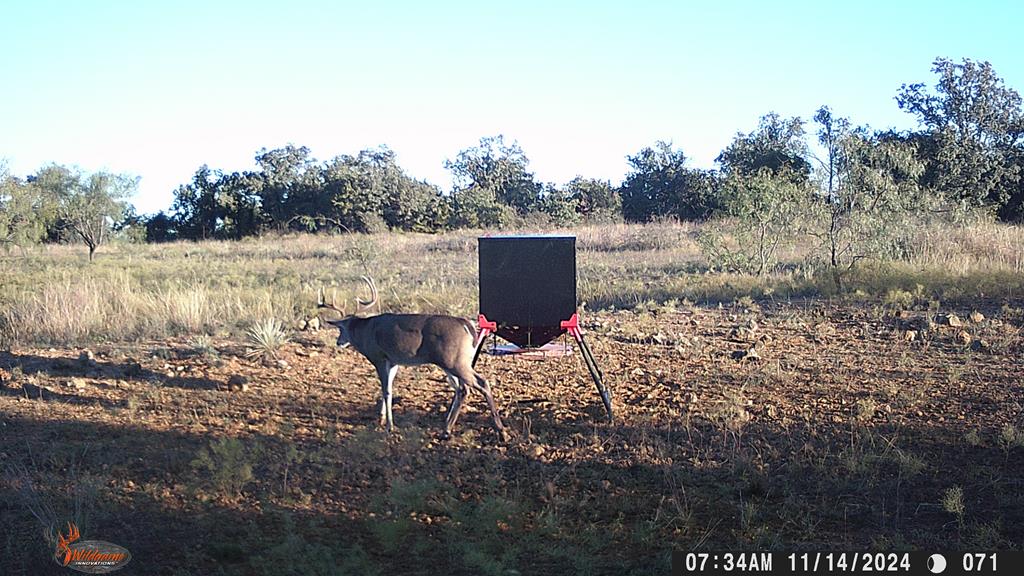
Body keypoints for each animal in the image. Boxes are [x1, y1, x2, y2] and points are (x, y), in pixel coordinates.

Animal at [317, 272, 509, 438]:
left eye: (341, 329)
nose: (339, 342)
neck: (365, 332)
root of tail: (468, 325)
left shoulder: (379, 357)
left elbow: (386, 390)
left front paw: (389, 426)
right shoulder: (394, 361)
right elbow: (388, 388)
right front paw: (381, 418)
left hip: (455, 361)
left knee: (480, 383)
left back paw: (500, 431)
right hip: (454, 362)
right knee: (462, 389)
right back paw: (446, 429)